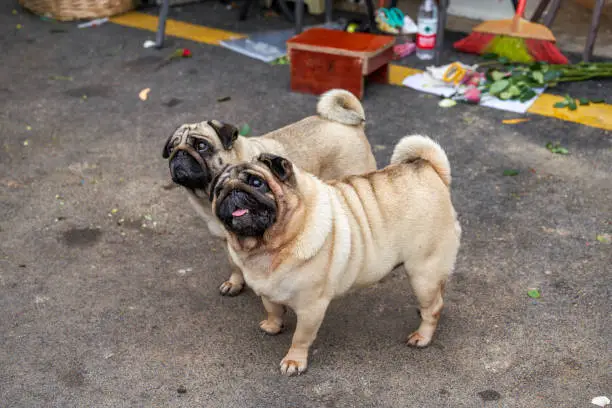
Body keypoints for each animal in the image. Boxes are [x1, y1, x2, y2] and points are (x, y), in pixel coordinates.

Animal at [161, 89, 378, 296]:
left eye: (201, 146)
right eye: (171, 148)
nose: (179, 153)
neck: (205, 197)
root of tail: (351, 126)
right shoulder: (227, 241)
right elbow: (234, 265)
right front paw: (235, 283)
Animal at [213, 135, 462, 374]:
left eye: (257, 182)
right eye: (218, 191)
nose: (232, 190)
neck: (269, 246)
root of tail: (430, 169)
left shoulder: (311, 308)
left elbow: (300, 338)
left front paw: (294, 361)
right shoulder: (267, 290)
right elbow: (272, 309)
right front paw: (273, 325)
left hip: (422, 272)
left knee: (434, 306)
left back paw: (422, 336)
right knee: (438, 294)